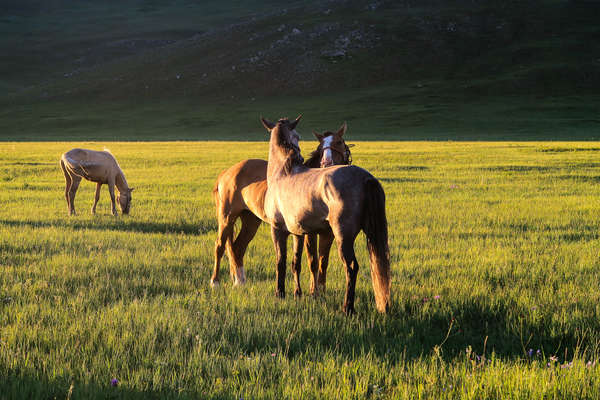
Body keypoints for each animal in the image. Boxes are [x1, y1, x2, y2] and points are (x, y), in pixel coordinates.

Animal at [211, 122, 352, 296]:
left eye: (339, 142)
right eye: (320, 147)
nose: (327, 163)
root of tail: (227, 172)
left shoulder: (328, 233)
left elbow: (322, 262)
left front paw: (320, 290)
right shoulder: (309, 234)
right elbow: (312, 261)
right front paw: (313, 291)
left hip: (251, 221)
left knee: (238, 247)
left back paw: (240, 281)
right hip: (226, 217)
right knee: (220, 246)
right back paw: (215, 282)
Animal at [262, 114, 390, 314]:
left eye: (298, 136)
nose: (300, 155)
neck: (283, 172)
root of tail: (365, 178)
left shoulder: (277, 230)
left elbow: (280, 261)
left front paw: (280, 293)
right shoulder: (299, 234)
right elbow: (297, 262)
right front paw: (298, 293)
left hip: (342, 236)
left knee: (351, 267)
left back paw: (348, 307)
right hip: (371, 233)